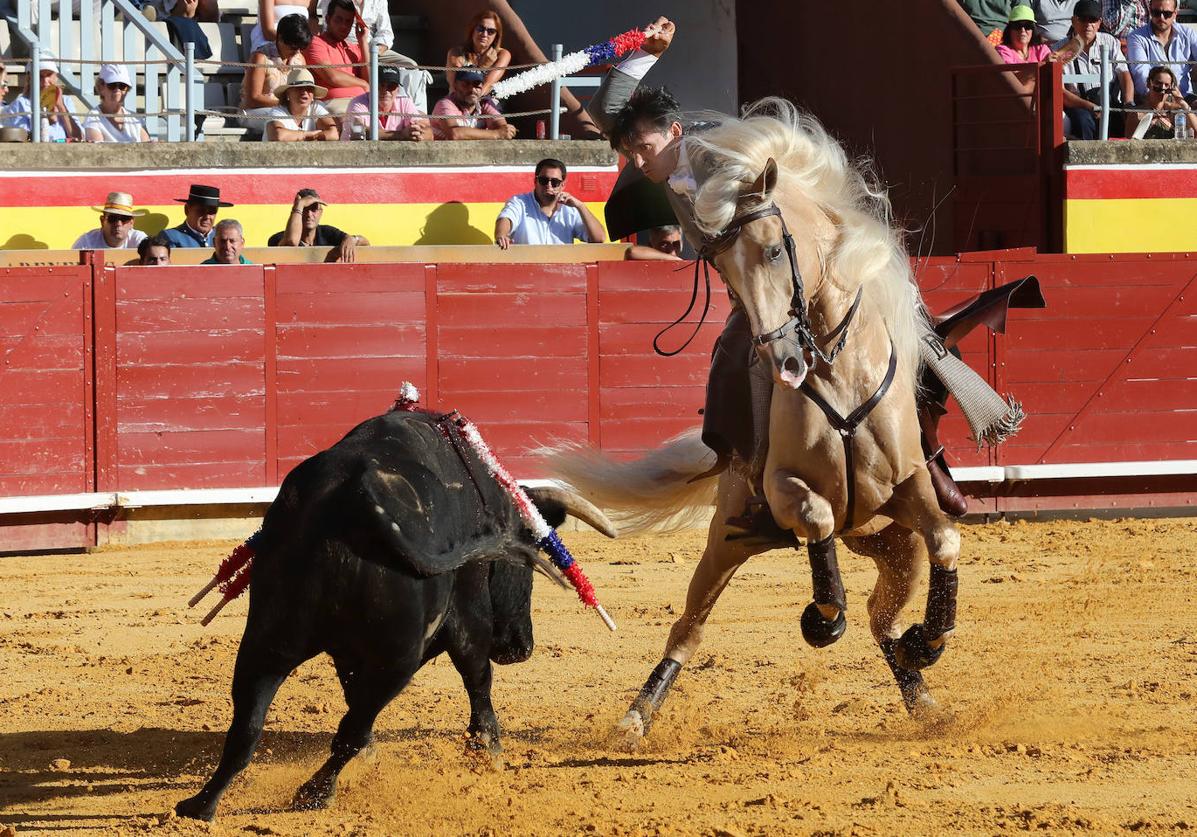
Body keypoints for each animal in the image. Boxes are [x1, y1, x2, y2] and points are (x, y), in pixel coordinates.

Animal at [174, 409, 617, 823]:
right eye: (527, 567)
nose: (520, 647)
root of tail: (357, 499)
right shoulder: (469, 610)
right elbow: (477, 678)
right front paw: (488, 750)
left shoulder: (349, 654)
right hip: (397, 657)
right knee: (352, 730)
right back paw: (313, 793)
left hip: (268, 637)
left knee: (248, 726)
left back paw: (200, 805)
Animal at [548, 99, 957, 747]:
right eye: (722, 266)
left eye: (773, 251)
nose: (783, 360)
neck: (836, 365)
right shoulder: (784, 488)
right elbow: (816, 518)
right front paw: (823, 617)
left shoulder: (910, 485)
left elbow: (946, 537)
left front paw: (931, 639)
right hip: (726, 537)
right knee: (689, 628)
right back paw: (636, 717)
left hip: (890, 543)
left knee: (882, 619)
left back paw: (920, 689)